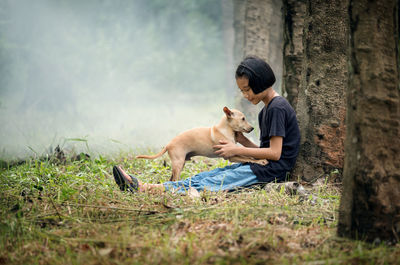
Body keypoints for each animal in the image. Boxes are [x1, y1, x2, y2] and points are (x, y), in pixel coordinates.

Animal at [136, 106, 268, 180]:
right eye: (243, 119)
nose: (252, 128)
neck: (225, 130)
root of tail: (168, 144)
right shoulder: (231, 156)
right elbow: (248, 158)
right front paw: (261, 161)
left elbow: (249, 155)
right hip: (178, 163)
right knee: (174, 180)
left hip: (181, 163)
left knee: (171, 179)